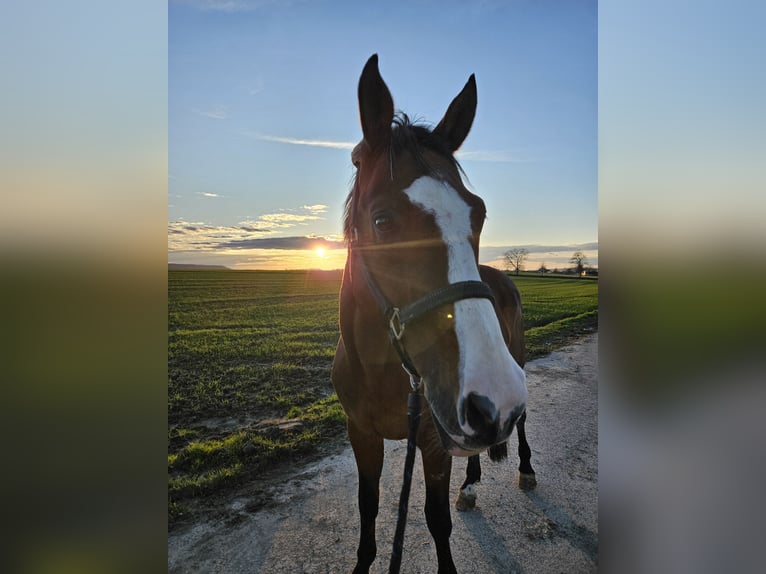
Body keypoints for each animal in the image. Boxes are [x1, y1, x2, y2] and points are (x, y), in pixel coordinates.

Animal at [332, 55, 536, 574]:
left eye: (478, 213)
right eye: (382, 220)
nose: (492, 395)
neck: (381, 369)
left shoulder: (429, 440)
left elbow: (435, 520)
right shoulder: (362, 435)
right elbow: (367, 510)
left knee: (523, 423)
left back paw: (526, 469)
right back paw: (472, 483)